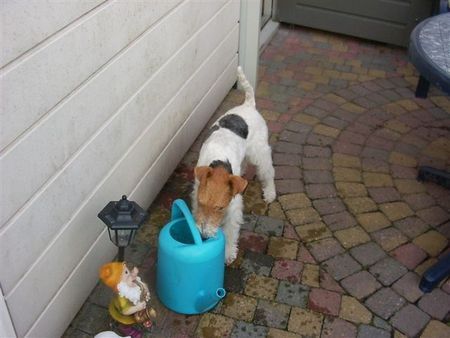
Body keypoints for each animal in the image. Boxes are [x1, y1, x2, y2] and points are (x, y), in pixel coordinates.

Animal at [192, 67, 276, 266]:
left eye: (220, 208)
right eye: (201, 203)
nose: (204, 236)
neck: (218, 164)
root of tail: (248, 104)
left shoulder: (233, 209)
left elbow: (231, 232)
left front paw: (228, 253)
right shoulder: (196, 191)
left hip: (260, 152)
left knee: (268, 172)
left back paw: (270, 193)